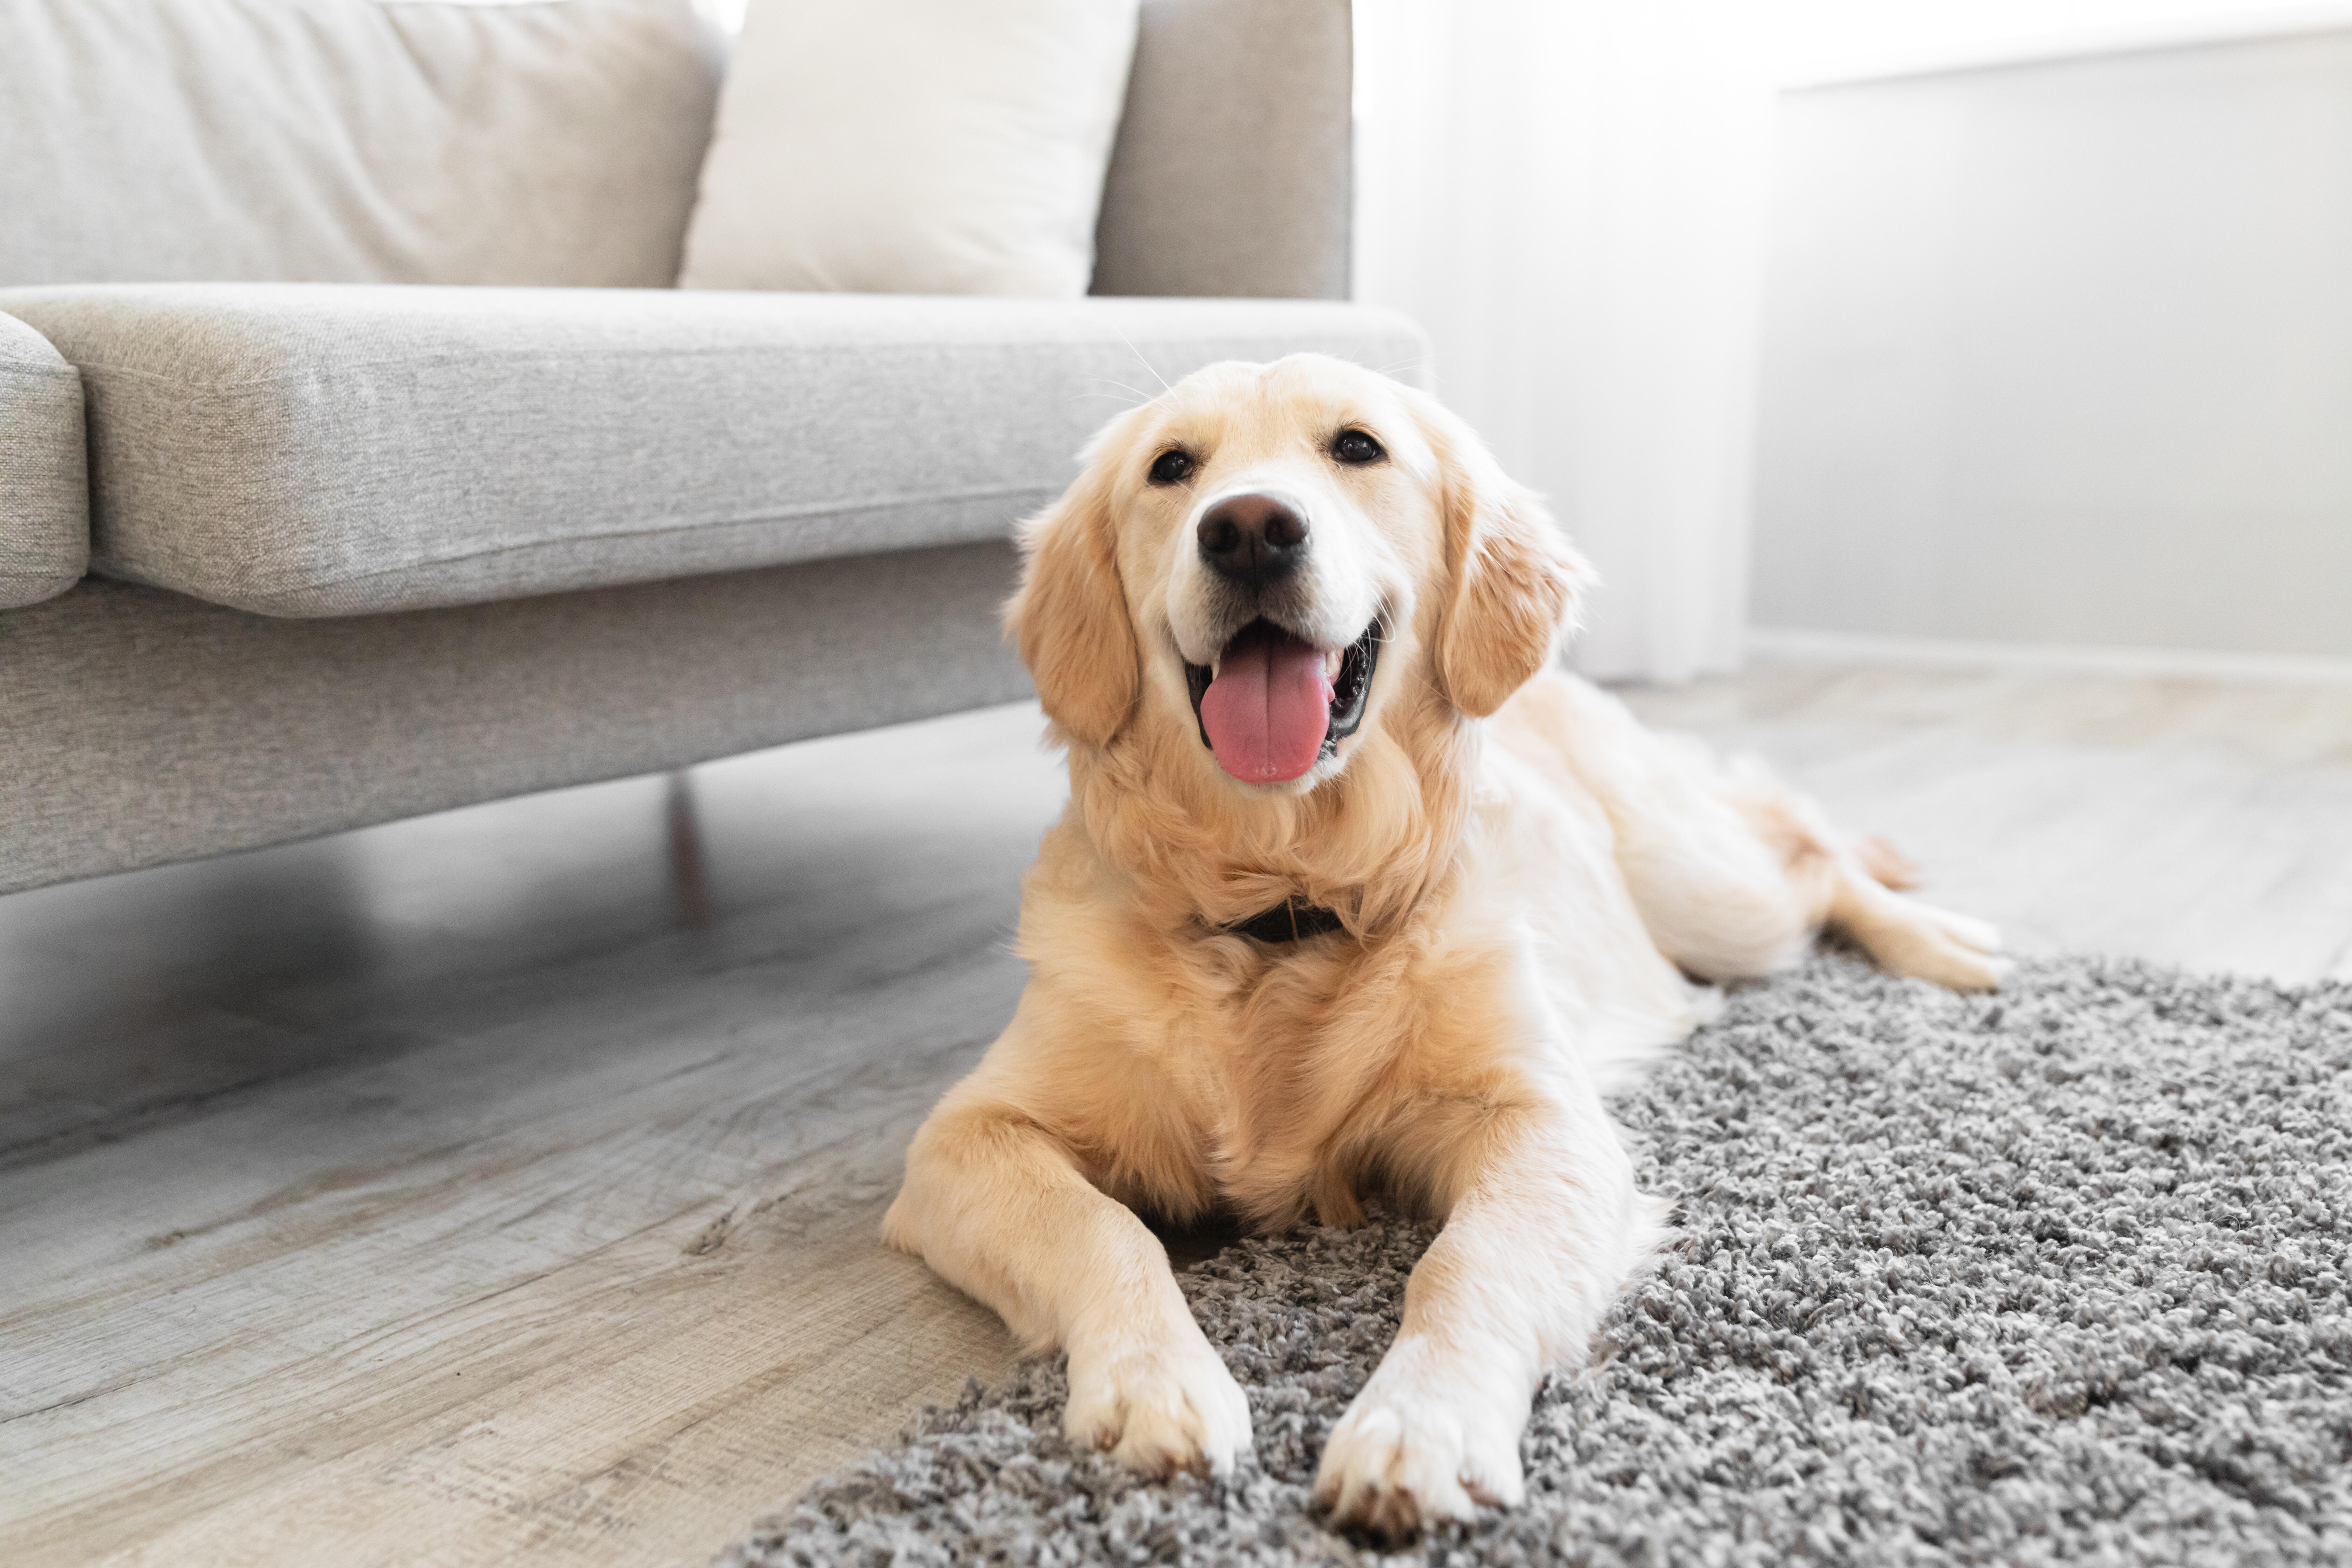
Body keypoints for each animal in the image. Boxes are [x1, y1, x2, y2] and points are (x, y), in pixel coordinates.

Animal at [884, 352, 2004, 1533]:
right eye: (1171, 467)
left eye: (1356, 447)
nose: (1246, 530)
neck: (1285, 903)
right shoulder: (970, 1135)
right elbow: (1105, 1227)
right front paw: (1156, 1383)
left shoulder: (1541, 1119)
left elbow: (1468, 1262)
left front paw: (1419, 1425)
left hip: (1715, 894)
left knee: (1810, 852)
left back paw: (1946, 943)